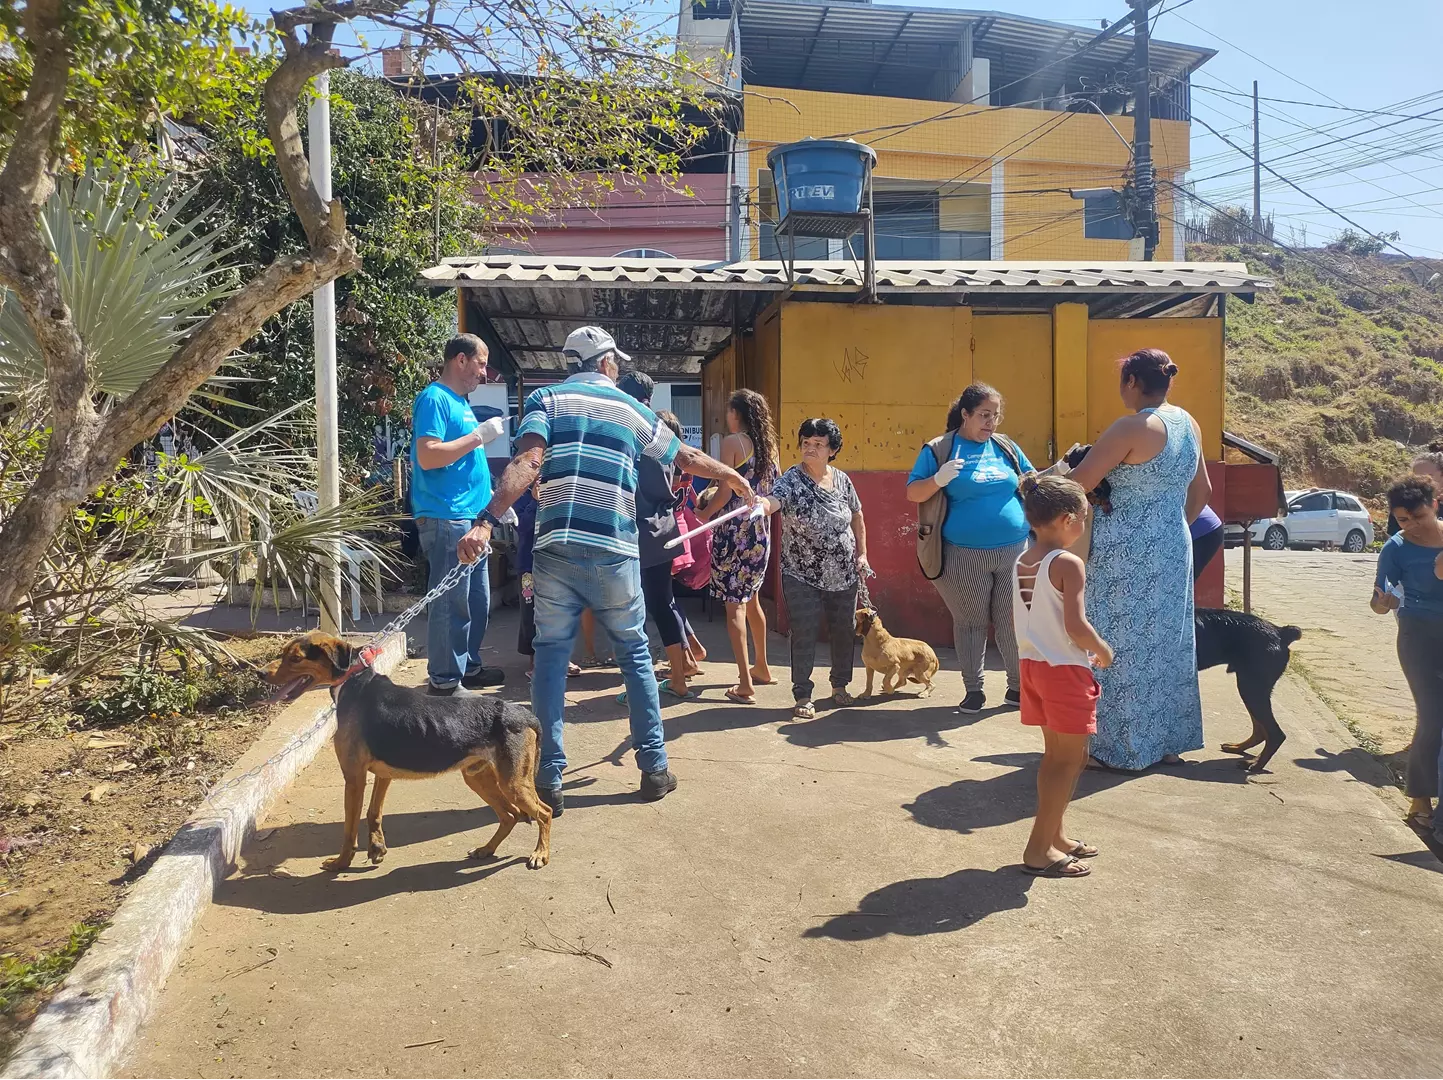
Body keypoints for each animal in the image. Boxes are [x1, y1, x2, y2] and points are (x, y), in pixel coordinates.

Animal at [262, 632, 548, 866]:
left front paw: (341, 862)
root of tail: (524, 715)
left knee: (543, 813)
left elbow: (349, 828)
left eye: (295, 658)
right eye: (283, 653)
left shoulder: (354, 778)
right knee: (510, 815)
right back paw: (486, 849)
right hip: (479, 777)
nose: (259, 674)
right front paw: (377, 848)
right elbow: (374, 812)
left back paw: (540, 854)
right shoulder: (382, 774)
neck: (353, 680)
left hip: (513, 783)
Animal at [1194, 606, 1298, 768]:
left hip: (1251, 687)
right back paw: (1238, 748)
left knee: (1275, 734)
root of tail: (1281, 632)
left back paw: (1256, 764)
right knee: (1261, 731)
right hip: (1251, 688)